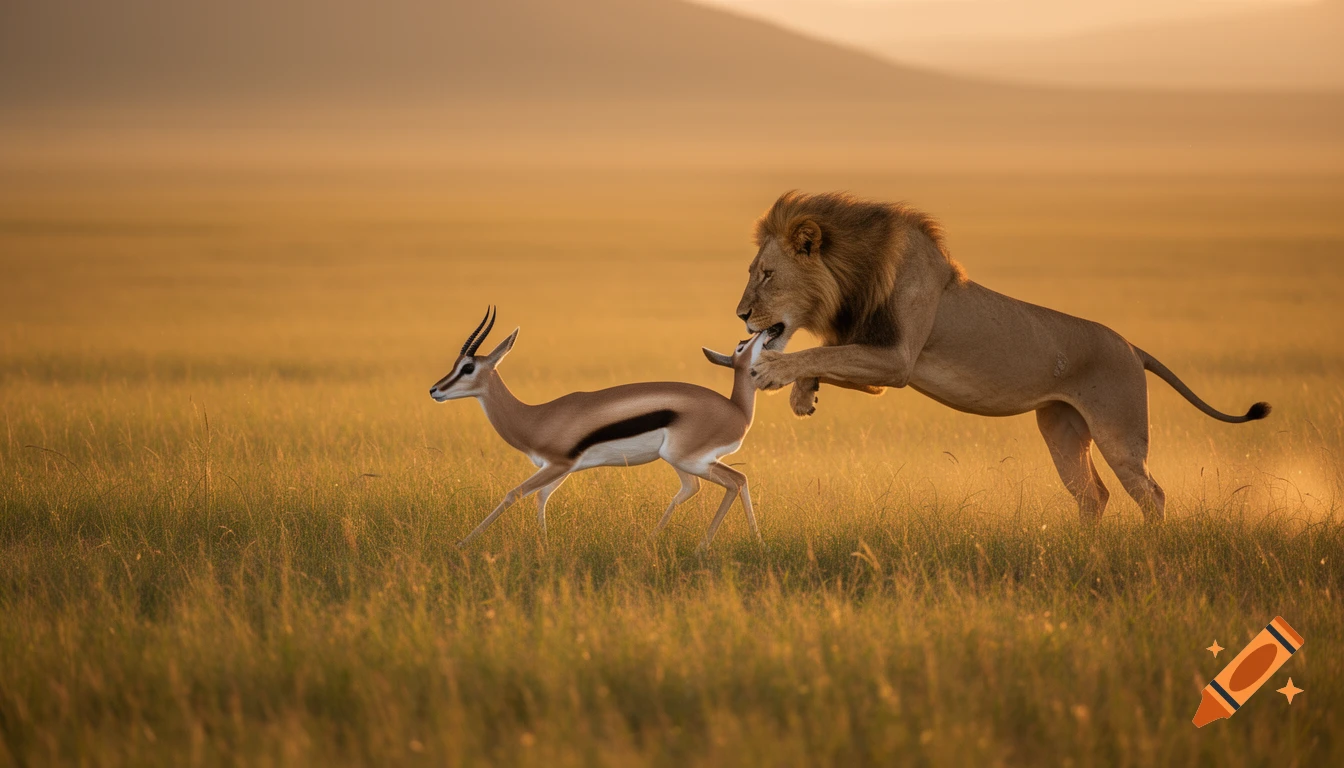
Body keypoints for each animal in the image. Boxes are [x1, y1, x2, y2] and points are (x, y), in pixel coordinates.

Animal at [429, 307, 780, 549]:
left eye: (468, 367)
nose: (435, 390)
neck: (535, 417)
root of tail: (738, 410)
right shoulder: (561, 468)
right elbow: (541, 498)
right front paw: (545, 545)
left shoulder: (557, 464)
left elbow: (513, 493)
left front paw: (461, 544)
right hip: (686, 463)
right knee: (711, 485)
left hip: (689, 460)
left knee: (734, 481)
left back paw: (710, 546)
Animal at [737, 191, 1270, 524]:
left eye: (766, 274)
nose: (740, 314)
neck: (853, 277)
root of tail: (1132, 347)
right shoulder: (878, 366)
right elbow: (828, 352)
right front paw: (803, 395)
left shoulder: (898, 360)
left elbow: (821, 351)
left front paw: (774, 371)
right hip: (1061, 428)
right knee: (1093, 494)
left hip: (1119, 432)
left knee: (1150, 493)